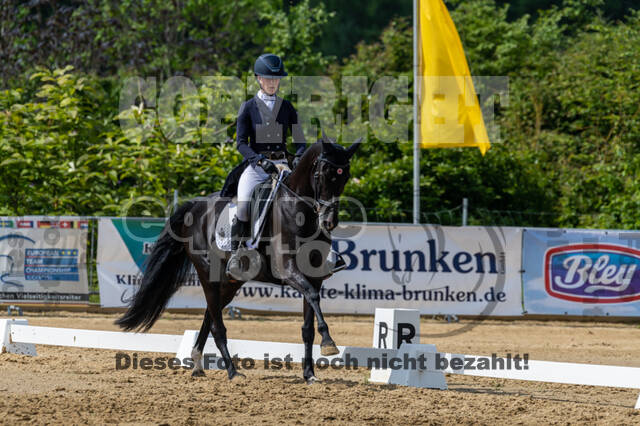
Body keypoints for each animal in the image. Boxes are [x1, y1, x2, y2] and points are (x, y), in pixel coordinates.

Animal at [115, 134, 362, 384]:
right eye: (323, 174)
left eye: (345, 177)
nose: (329, 221)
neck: (299, 212)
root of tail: (195, 206)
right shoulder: (288, 270)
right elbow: (311, 297)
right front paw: (329, 344)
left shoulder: (314, 276)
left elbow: (308, 325)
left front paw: (309, 373)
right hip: (208, 275)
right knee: (217, 325)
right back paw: (232, 372)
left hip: (231, 282)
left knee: (210, 315)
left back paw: (197, 364)